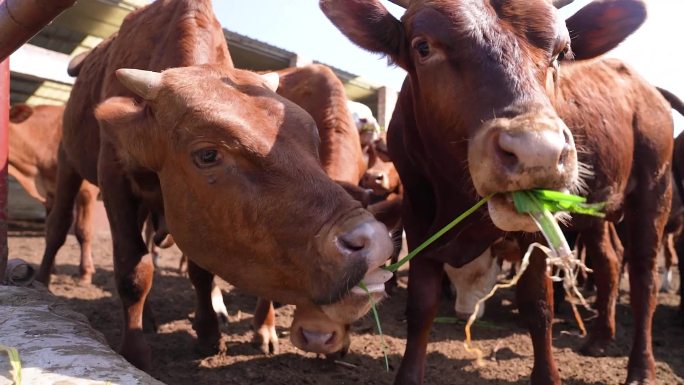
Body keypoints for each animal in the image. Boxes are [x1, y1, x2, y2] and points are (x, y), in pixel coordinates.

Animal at [8, 103, 100, 284]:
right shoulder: (51, 193)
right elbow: (50, 228)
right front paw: (51, 268)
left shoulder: (87, 190)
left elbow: (83, 230)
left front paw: (85, 274)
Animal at [38, 0, 390, 368]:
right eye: (208, 154)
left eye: (312, 139)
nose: (374, 241)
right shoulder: (114, 178)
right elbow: (132, 269)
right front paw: (135, 352)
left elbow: (200, 271)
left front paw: (208, 334)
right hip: (68, 160)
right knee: (59, 224)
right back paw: (41, 283)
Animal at [324, 0, 672, 384]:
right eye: (423, 47)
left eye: (562, 53)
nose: (539, 152)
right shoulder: (417, 217)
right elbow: (421, 304)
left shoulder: (536, 229)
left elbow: (538, 304)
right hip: (598, 212)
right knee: (610, 262)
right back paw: (599, 338)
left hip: (654, 192)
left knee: (643, 277)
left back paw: (641, 366)